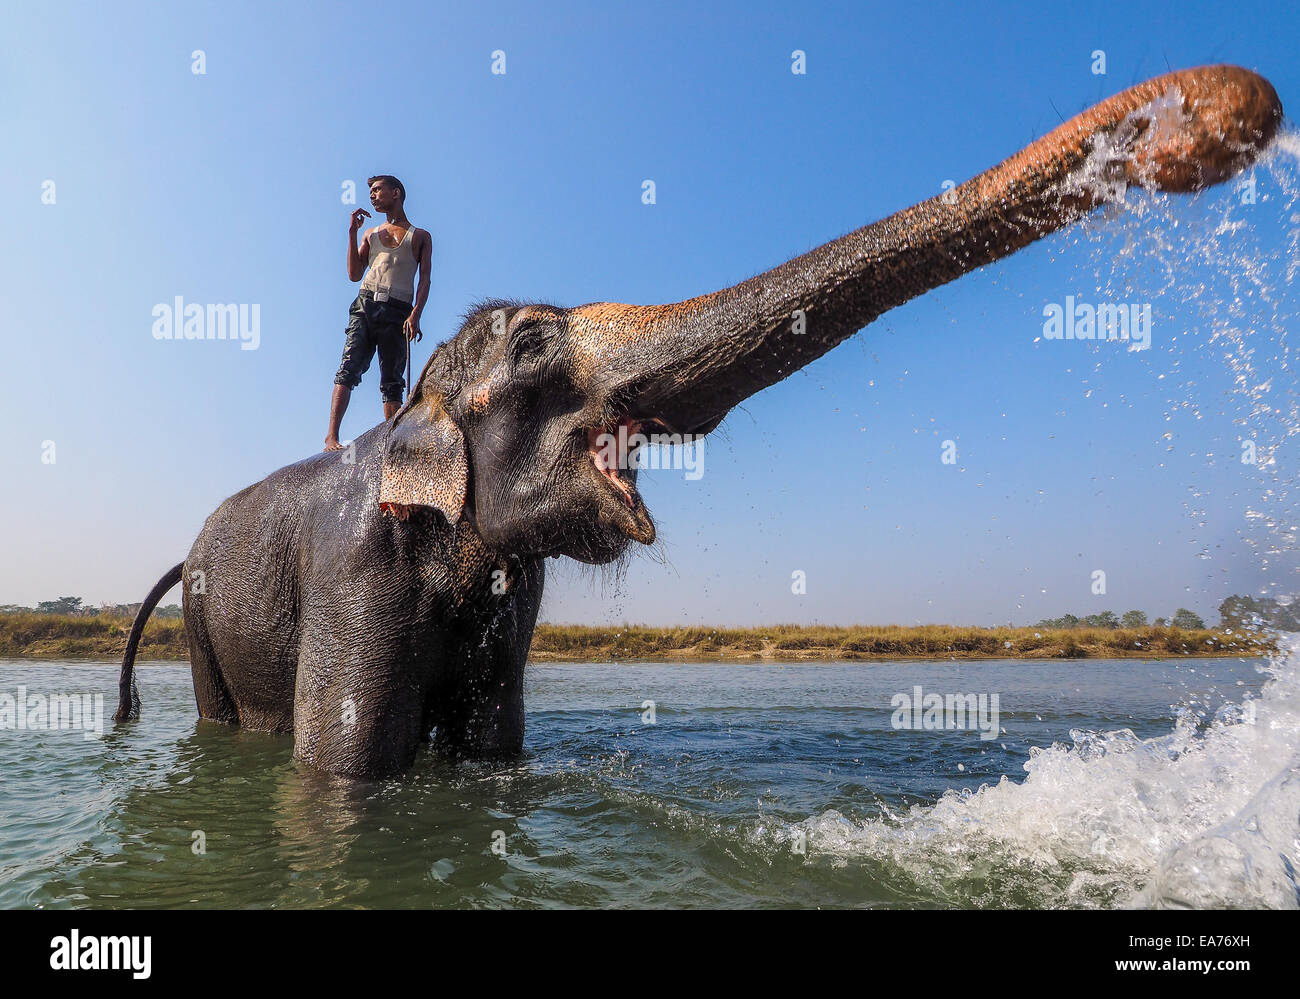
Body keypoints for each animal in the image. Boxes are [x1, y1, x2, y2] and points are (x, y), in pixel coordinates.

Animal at [114, 66, 1279, 775]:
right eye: (532, 351)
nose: (1213, 116)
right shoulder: (358, 568)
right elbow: (342, 770)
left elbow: (494, 750)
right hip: (208, 626)